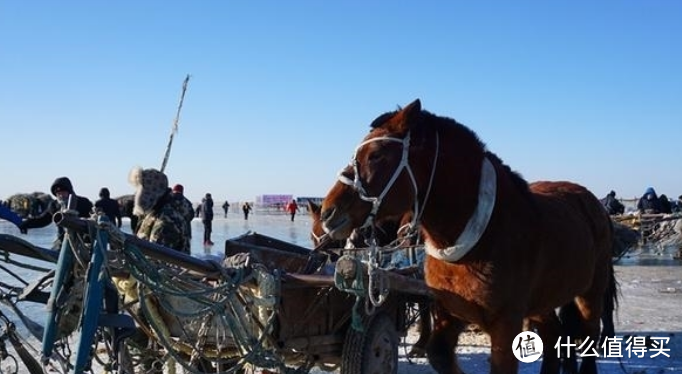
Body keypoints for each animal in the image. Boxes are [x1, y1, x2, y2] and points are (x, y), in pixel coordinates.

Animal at [318, 99, 616, 374]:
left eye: (376, 154)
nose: (328, 211)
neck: (479, 240)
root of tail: (592, 202)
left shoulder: (506, 322)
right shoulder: (450, 310)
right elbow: (438, 353)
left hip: (591, 291)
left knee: (589, 334)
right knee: (554, 334)